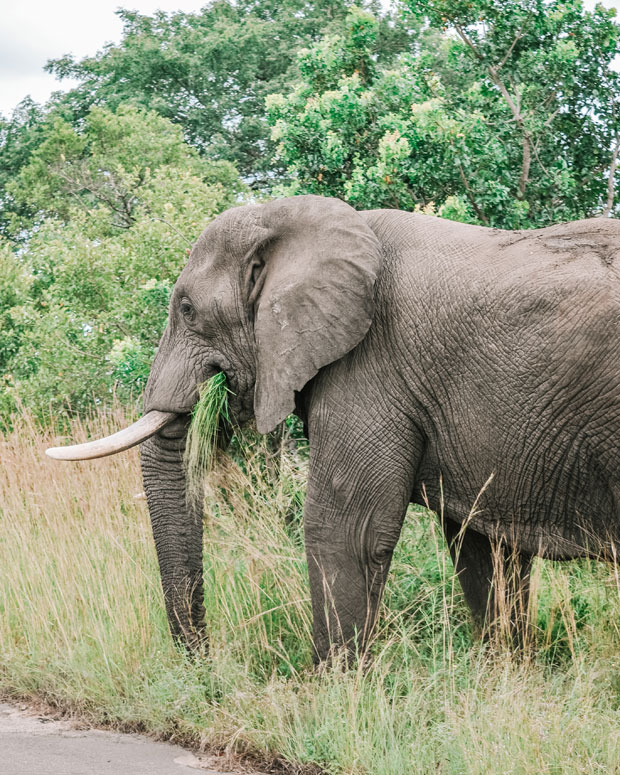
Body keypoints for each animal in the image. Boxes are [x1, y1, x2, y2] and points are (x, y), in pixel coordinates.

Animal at [46, 196, 620, 660]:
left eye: (186, 308)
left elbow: (346, 531)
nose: (206, 667)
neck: (295, 221)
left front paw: (332, 693)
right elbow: (481, 547)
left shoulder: (370, 368)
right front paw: (506, 673)